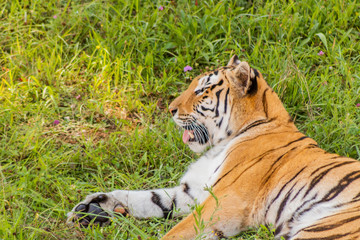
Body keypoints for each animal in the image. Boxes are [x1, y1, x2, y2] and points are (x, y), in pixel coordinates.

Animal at [67, 55, 360, 239]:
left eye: (200, 91)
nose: (170, 109)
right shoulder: (193, 191)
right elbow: (148, 198)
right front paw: (94, 205)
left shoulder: (225, 201)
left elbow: (178, 232)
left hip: (326, 228)